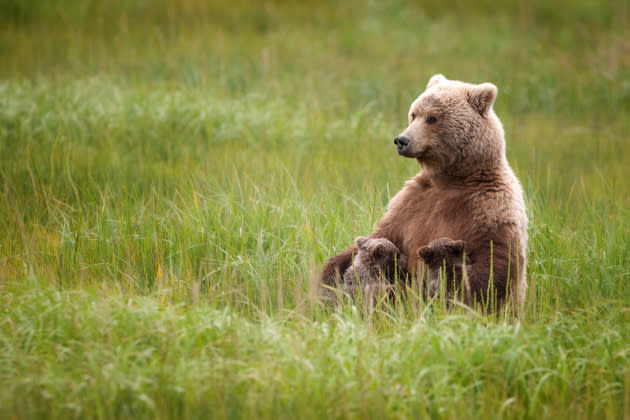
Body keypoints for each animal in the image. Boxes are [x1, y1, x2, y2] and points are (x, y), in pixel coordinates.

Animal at [320, 74, 528, 316]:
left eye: (432, 118)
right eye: (413, 114)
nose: (401, 140)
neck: (451, 179)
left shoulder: (489, 206)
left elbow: (494, 264)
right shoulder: (411, 203)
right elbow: (381, 235)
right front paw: (328, 275)